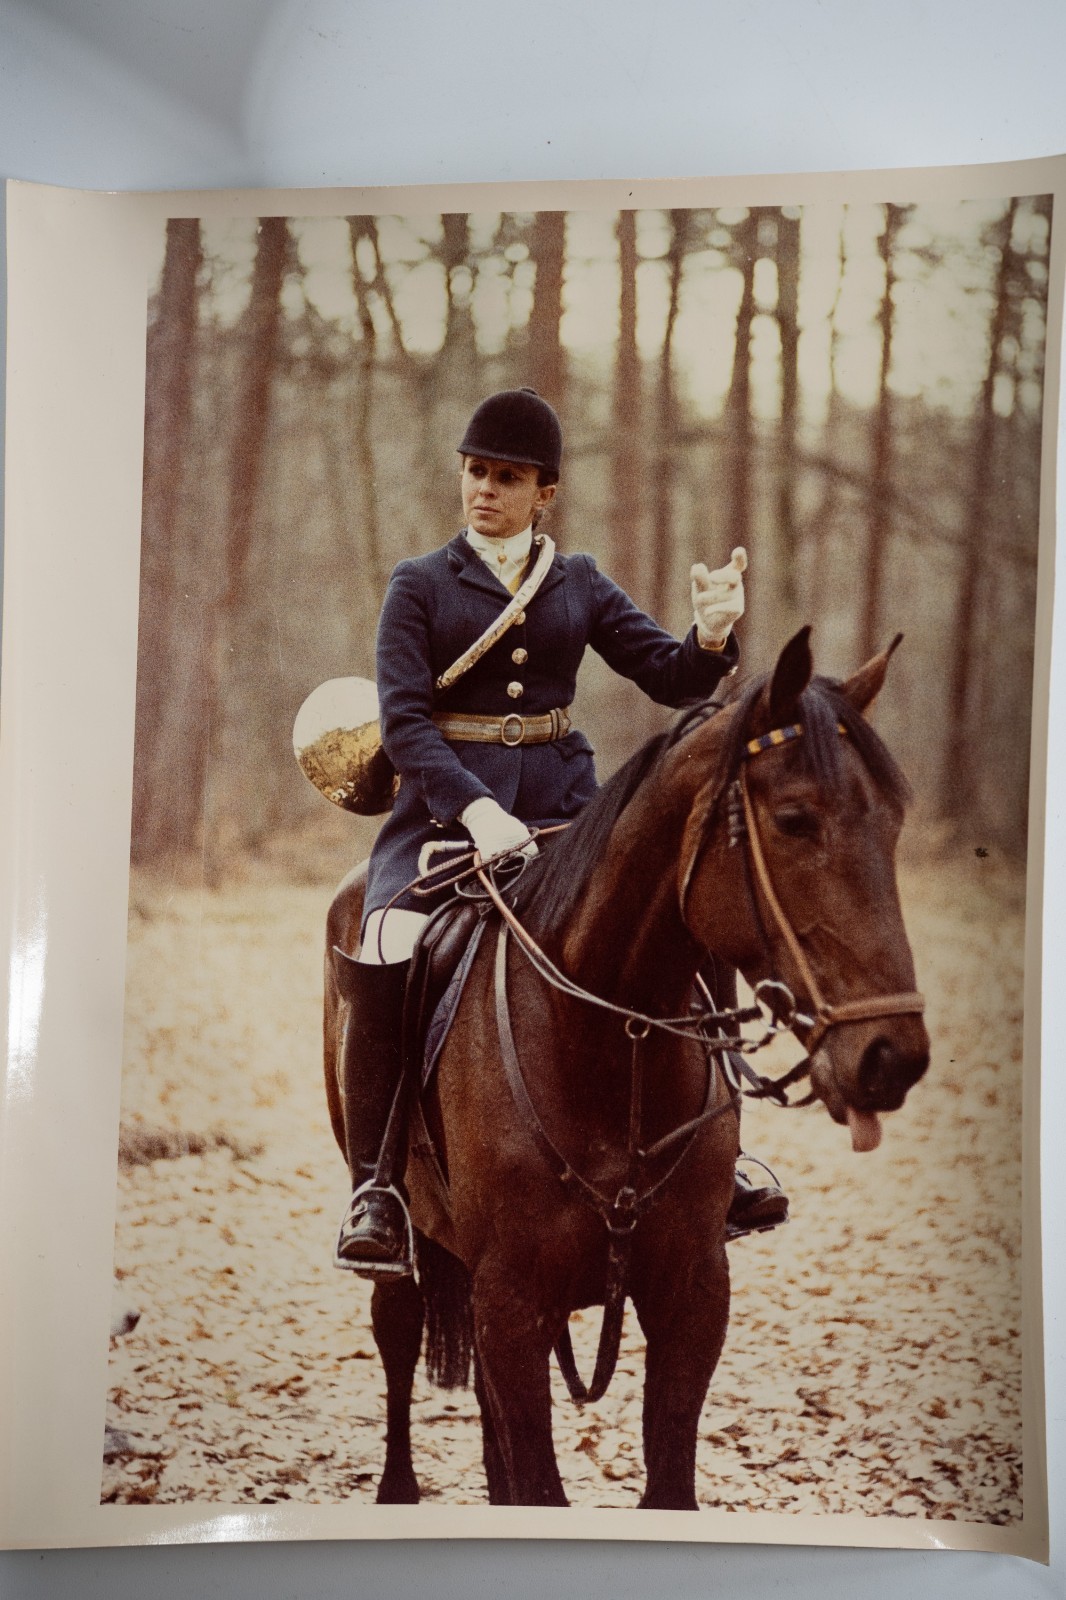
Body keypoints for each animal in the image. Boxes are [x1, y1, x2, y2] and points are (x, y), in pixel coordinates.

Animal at [322, 627, 930, 1509]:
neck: (610, 1044)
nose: (893, 1058)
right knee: (397, 1335)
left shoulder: (693, 1294)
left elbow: (663, 1479)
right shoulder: (510, 1302)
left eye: (893, 823)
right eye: (793, 820)